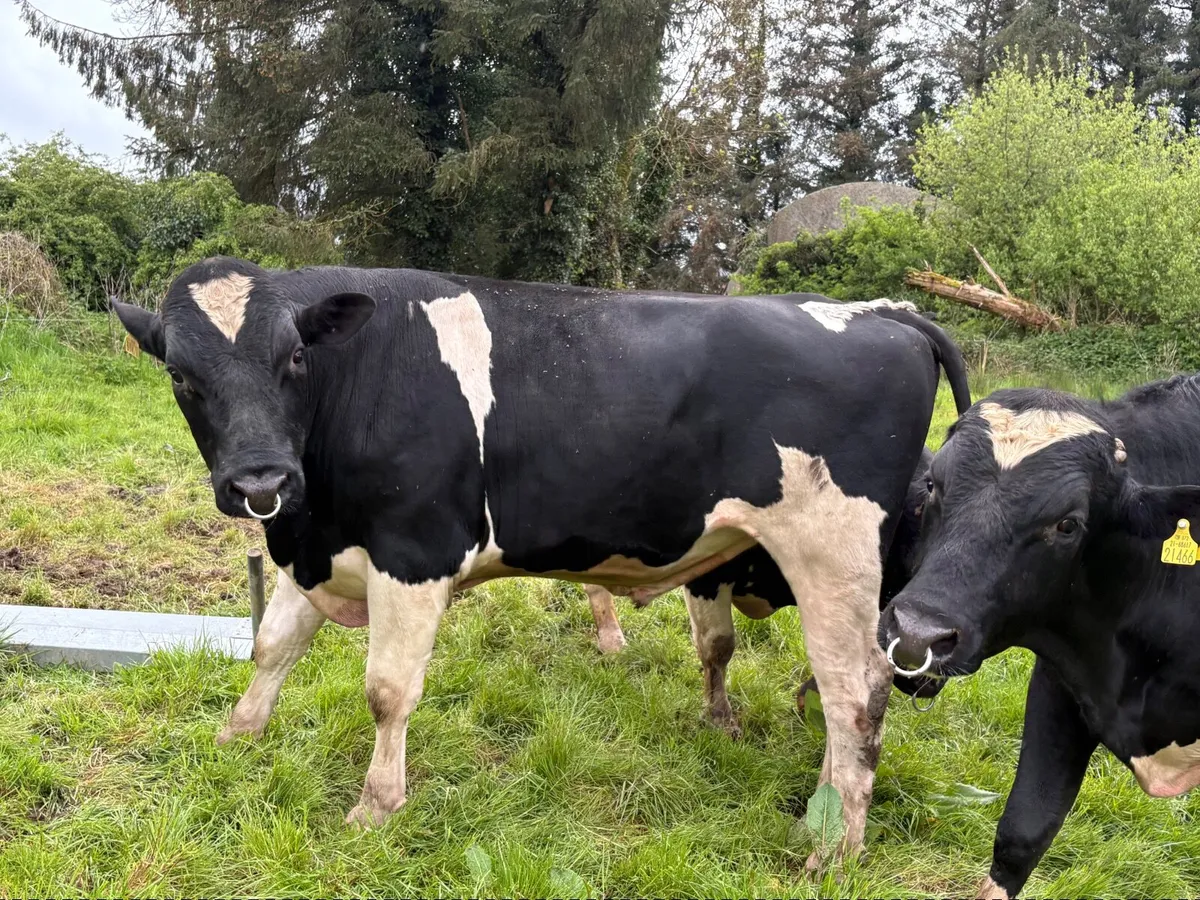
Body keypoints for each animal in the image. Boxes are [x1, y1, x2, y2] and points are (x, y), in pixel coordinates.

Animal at [113, 257, 969, 863]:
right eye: (180, 374)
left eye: (294, 358)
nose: (260, 481)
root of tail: (885, 312)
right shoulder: (317, 548)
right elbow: (272, 648)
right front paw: (236, 740)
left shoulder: (414, 553)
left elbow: (387, 692)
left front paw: (377, 806)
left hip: (834, 555)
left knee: (855, 694)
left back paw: (834, 846)